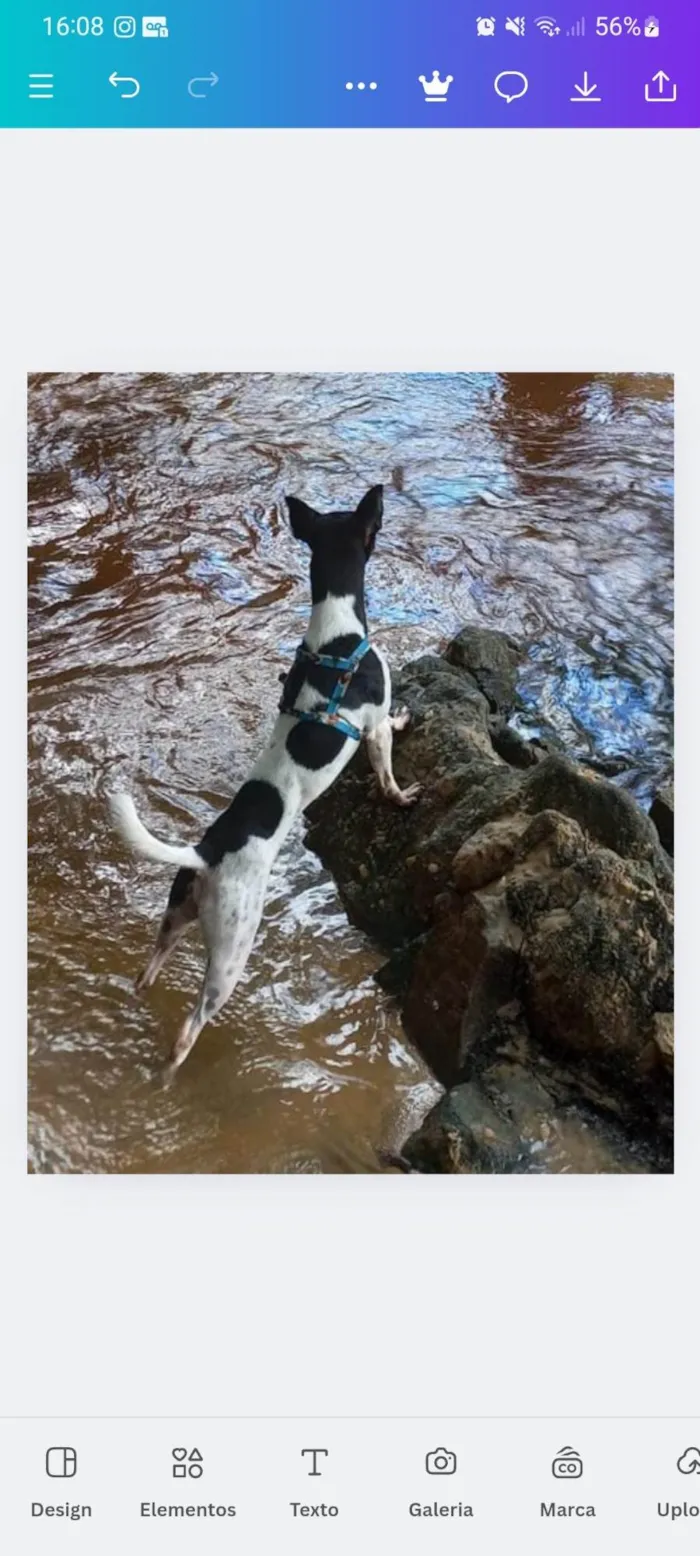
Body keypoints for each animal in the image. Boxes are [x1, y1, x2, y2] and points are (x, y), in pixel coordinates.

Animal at [106, 485, 416, 1070]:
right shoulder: (373, 728)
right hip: (232, 950)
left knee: (147, 968)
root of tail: (207, 854)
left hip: (175, 917)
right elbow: (387, 764)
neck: (335, 635)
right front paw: (402, 794)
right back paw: (170, 1072)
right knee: (190, 1027)